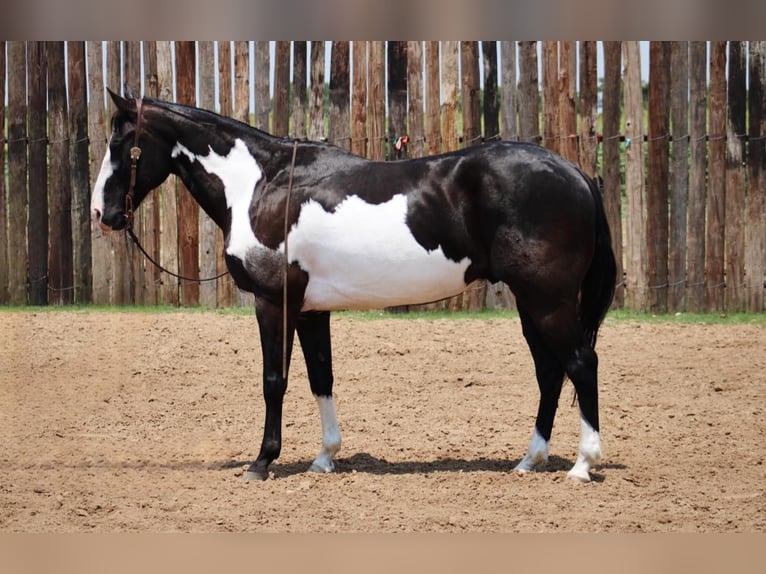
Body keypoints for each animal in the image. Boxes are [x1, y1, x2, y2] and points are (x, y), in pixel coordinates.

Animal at [91, 90, 616, 484]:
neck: (263, 184)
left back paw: (583, 465)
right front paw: (325, 457)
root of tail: (576, 173)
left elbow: (274, 380)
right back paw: (530, 460)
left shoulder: (273, 303)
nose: (102, 213)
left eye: (122, 142)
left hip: (548, 301)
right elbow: (320, 378)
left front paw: (262, 462)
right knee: (550, 371)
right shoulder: (309, 309)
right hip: (532, 303)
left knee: (580, 363)